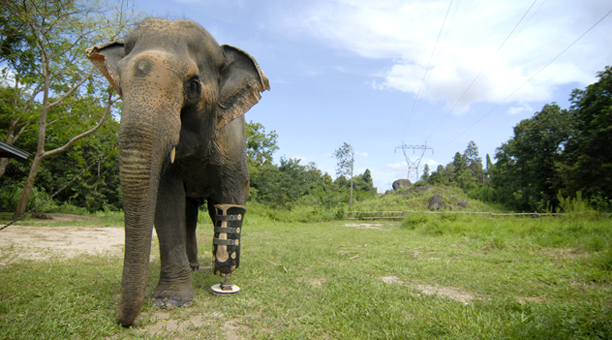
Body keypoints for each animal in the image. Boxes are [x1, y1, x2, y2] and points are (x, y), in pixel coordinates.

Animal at [87, 18, 268, 326]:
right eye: (119, 82)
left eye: (193, 85)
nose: (123, 320)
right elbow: (166, 202)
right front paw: (171, 301)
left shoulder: (232, 140)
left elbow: (233, 194)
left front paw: (225, 274)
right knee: (189, 215)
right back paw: (194, 267)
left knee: (210, 212)